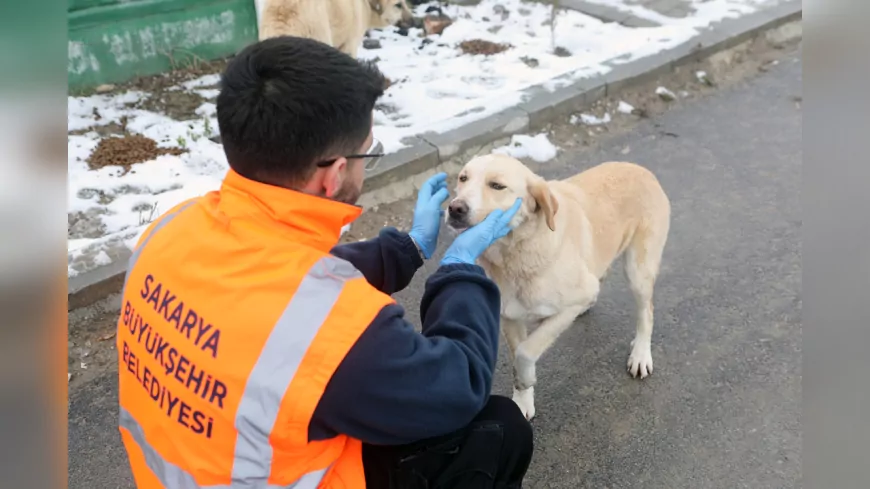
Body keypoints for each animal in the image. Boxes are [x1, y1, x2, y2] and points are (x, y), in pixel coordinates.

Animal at [446, 153, 672, 420]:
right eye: (463, 178)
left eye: (497, 186)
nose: (455, 208)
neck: (516, 253)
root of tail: (641, 169)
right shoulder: (510, 316)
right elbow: (518, 352)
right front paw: (522, 400)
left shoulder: (569, 304)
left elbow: (526, 351)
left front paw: (526, 378)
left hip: (638, 272)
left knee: (646, 312)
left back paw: (640, 353)